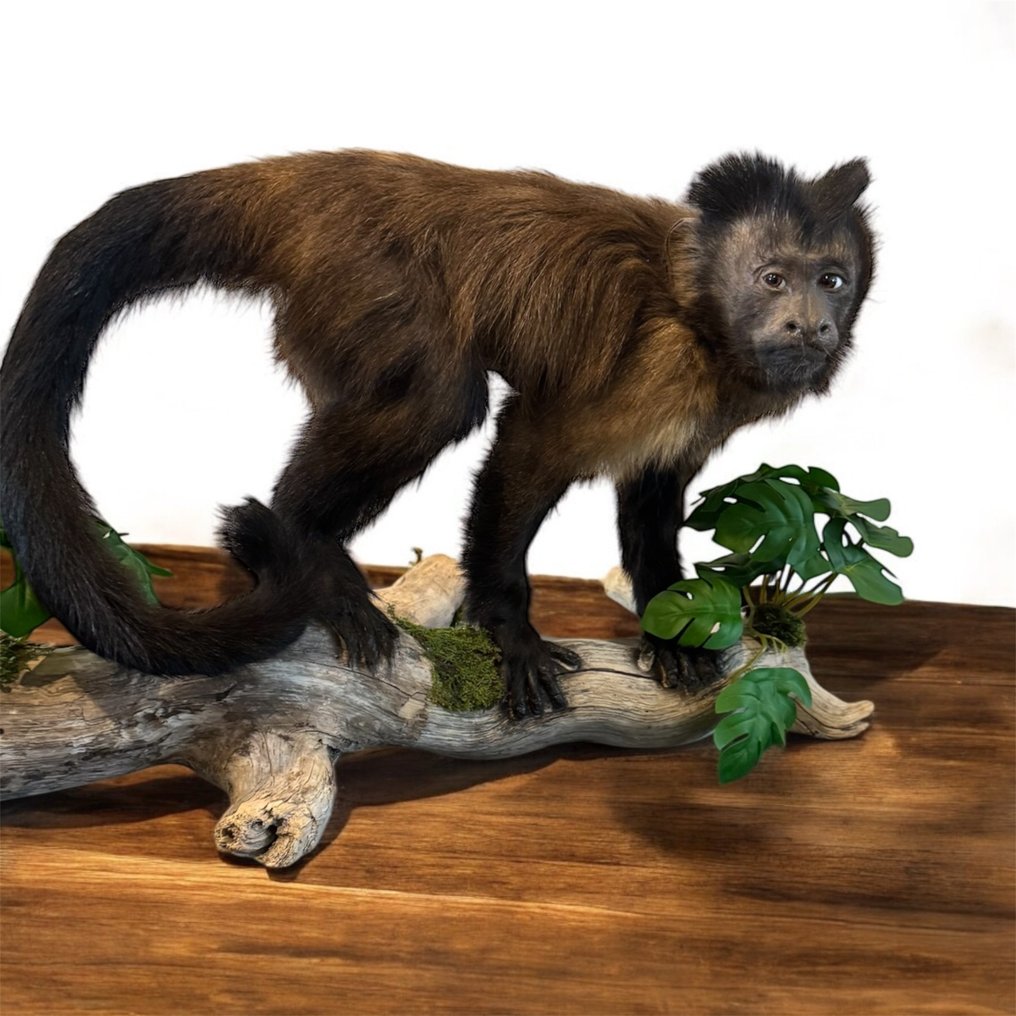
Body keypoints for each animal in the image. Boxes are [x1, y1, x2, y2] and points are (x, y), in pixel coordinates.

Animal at [0, 150, 875, 716]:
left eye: (832, 278)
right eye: (772, 278)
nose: (811, 325)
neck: (696, 314)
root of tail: (310, 179)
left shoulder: (699, 405)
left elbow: (654, 498)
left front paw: (672, 625)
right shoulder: (652, 362)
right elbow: (526, 445)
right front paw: (509, 631)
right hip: (361, 279)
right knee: (440, 398)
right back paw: (292, 545)